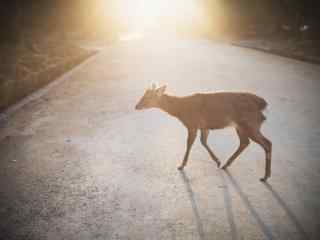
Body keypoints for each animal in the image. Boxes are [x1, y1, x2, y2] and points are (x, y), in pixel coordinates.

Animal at [135, 85, 272, 182]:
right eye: (143, 95)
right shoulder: (204, 126)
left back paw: (265, 176)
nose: (136, 106)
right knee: (245, 142)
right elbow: (203, 142)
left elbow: (190, 144)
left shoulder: (192, 124)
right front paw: (217, 161)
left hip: (250, 124)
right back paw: (226, 164)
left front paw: (181, 165)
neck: (180, 110)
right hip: (241, 126)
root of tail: (262, 105)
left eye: (148, 97)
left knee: (267, 143)